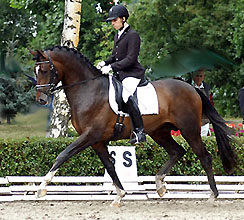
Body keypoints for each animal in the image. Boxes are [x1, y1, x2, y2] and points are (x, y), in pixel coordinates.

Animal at [29, 46, 237, 206]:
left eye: (45, 70)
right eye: (35, 71)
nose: (41, 100)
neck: (88, 90)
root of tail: (191, 87)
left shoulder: (90, 135)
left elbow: (63, 155)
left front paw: (41, 188)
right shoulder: (97, 141)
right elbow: (110, 166)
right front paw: (120, 195)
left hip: (189, 129)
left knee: (205, 157)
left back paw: (213, 195)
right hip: (159, 132)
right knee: (177, 151)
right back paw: (160, 185)